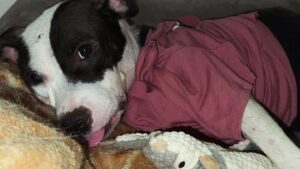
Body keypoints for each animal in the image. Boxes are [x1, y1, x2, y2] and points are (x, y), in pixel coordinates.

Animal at [0, 0, 300, 168]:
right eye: (35, 80)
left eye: (84, 50)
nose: (75, 123)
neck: (145, 69)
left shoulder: (230, 95)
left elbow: (279, 147)